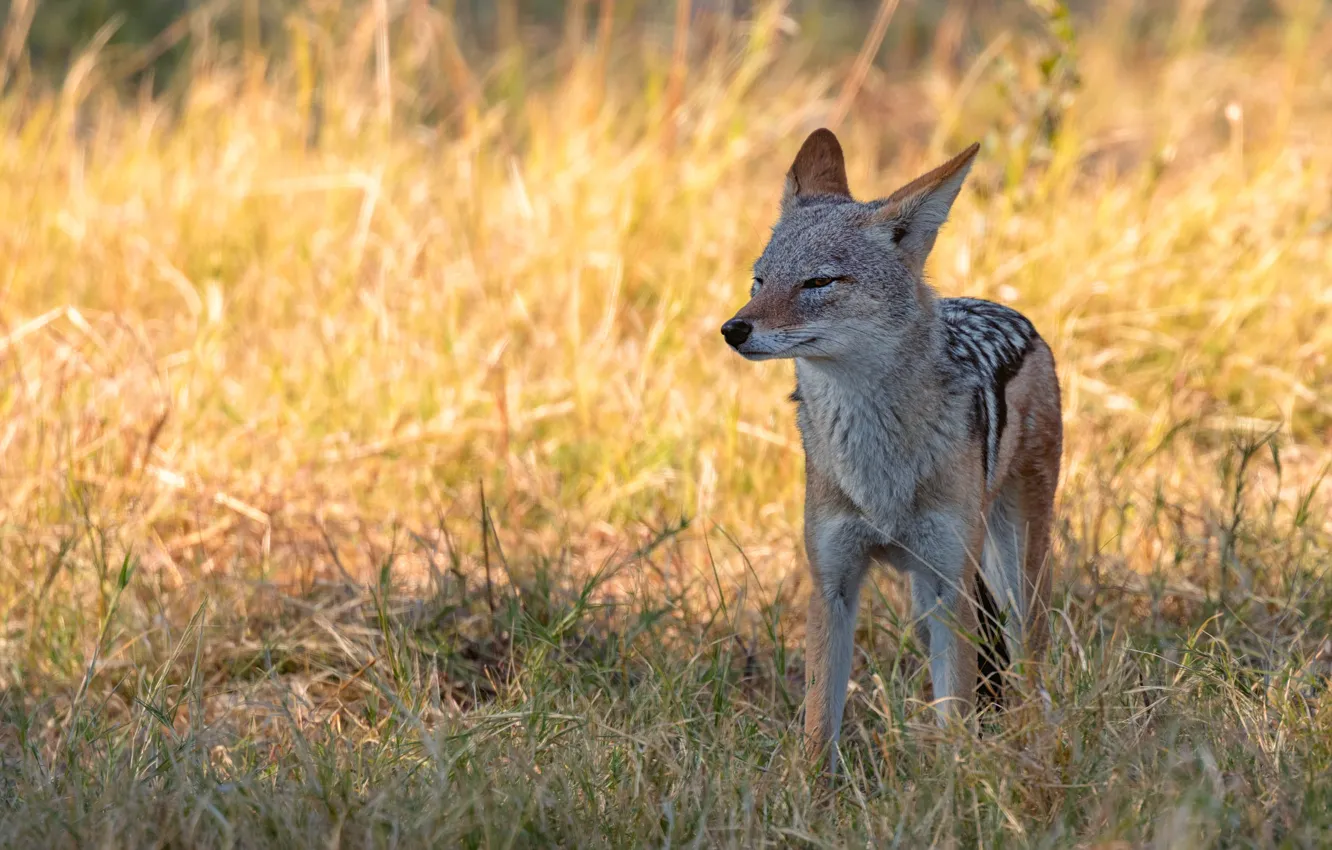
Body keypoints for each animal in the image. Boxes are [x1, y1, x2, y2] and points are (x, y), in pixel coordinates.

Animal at [721, 129, 1062, 772]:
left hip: (1006, 576)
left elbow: (958, 716)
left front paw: (957, 783)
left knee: (1029, 666)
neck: (877, 465)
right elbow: (818, 727)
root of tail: (1015, 317)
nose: (733, 329)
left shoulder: (952, 582)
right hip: (926, 598)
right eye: (759, 281)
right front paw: (813, 792)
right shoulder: (832, 585)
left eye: (818, 282)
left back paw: (1032, 742)